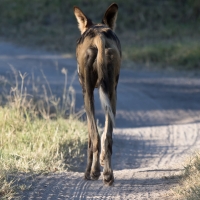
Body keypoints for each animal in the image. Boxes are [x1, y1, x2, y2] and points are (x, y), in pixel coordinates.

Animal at [73, 2, 120, 186]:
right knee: (108, 138)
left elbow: (89, 137)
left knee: (95, 137)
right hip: (111, 93)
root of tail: (99, 36)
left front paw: (90, 171)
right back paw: (108, 175)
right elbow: (106, 132)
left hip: (88, 95)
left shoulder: (86, 93)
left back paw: (92, 172)